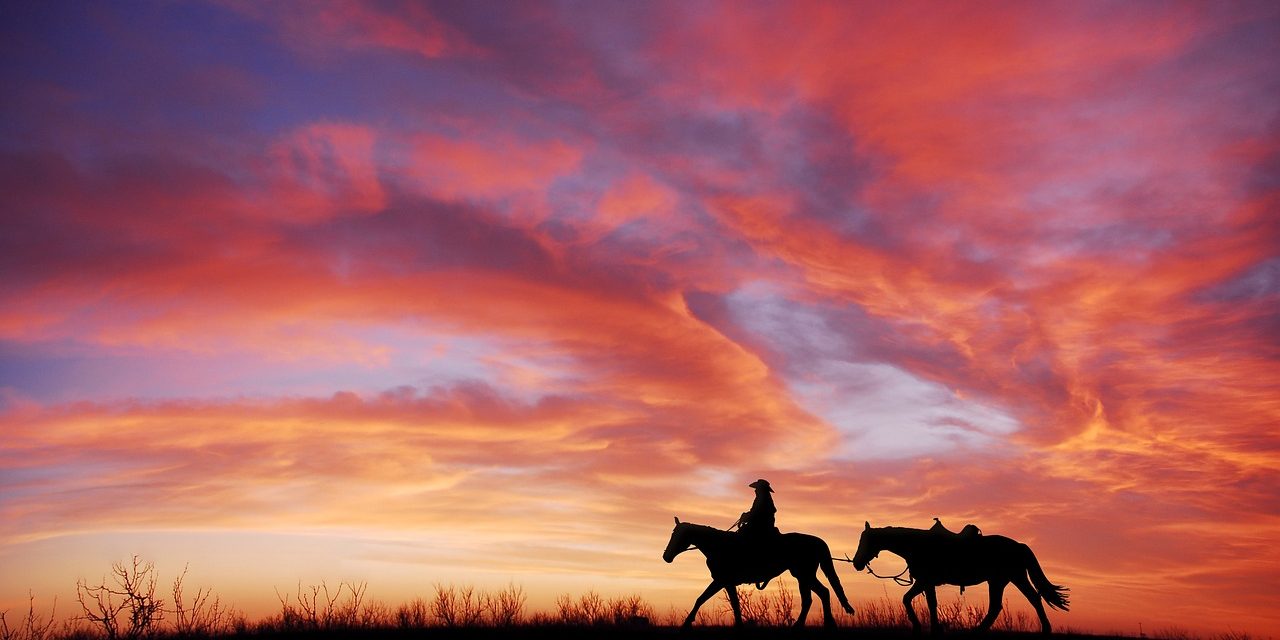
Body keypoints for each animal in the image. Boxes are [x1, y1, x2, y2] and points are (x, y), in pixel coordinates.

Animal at [665, 517, 855, 627]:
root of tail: (817, 541)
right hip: (803, 575)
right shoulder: (724, 582)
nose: (666, 556)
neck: (718, 546)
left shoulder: (723, 581)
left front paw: (687, 623)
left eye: (678, 535)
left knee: (814, 596)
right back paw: (824, 624)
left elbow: (711, 601)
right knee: (821, 594)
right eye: (673, 533)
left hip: (803, 575)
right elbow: (710, 600)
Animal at [849, 519, 1070, 634]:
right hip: (1005, 580)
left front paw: (924, 627)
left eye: (865, 541)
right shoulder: (925, 583)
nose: (856, 563)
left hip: (1007, 579)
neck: (918, 546)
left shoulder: (925, 581)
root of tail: (1019, 546)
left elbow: (918, 601)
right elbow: (920, 602)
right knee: (1011, 604)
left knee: (1022, 601)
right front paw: (928, 627)